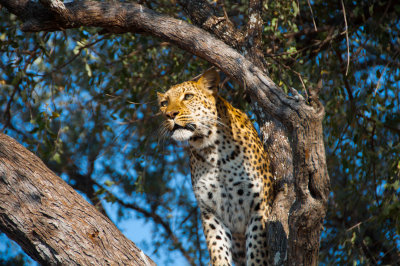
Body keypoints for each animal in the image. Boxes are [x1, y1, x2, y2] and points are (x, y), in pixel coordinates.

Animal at [157, 69, 276, 264]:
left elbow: (257, 250)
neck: (212, 150)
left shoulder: (258, 206)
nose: (170, 114)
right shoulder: (211, 212)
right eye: (164, 103)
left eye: (188, 96)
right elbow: (218, 248)